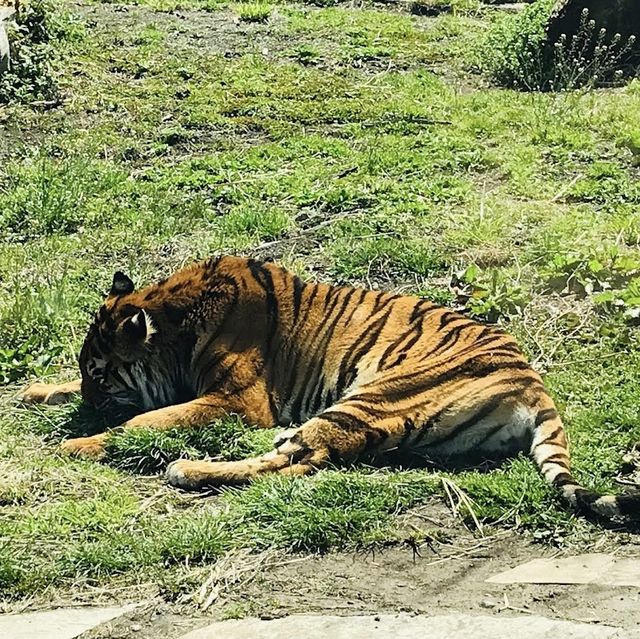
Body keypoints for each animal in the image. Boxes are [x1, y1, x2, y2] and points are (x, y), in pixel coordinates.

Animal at [20, 254, 640, 520]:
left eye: (102, 376)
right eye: (86, 373)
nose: (89, 407)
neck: (176, 318)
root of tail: (534, 383)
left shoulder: (237, 401)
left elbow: (144, 421)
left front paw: (77, 443)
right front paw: (35, 392)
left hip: (373, 395)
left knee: (299, 460)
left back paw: (187, 470)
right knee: (305, 459)